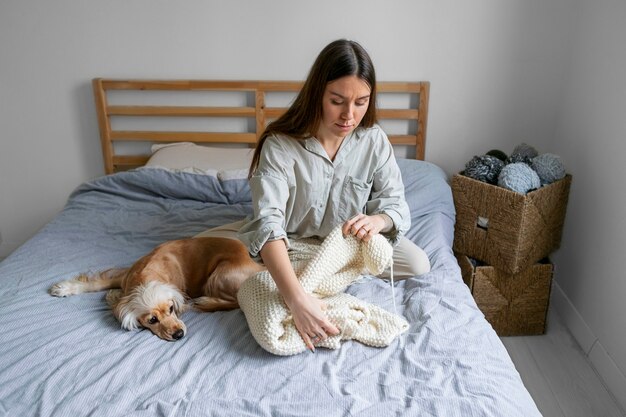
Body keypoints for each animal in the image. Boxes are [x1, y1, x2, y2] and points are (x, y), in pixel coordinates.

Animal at [49, 237, 264, 342]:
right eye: (152, 320)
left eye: (171, 309)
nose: (179, 335)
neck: (146, 277)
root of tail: (255, 264)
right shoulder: (125, 277)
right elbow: (97, 284)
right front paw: (65, 288)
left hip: (218, 275)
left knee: (236, 300)